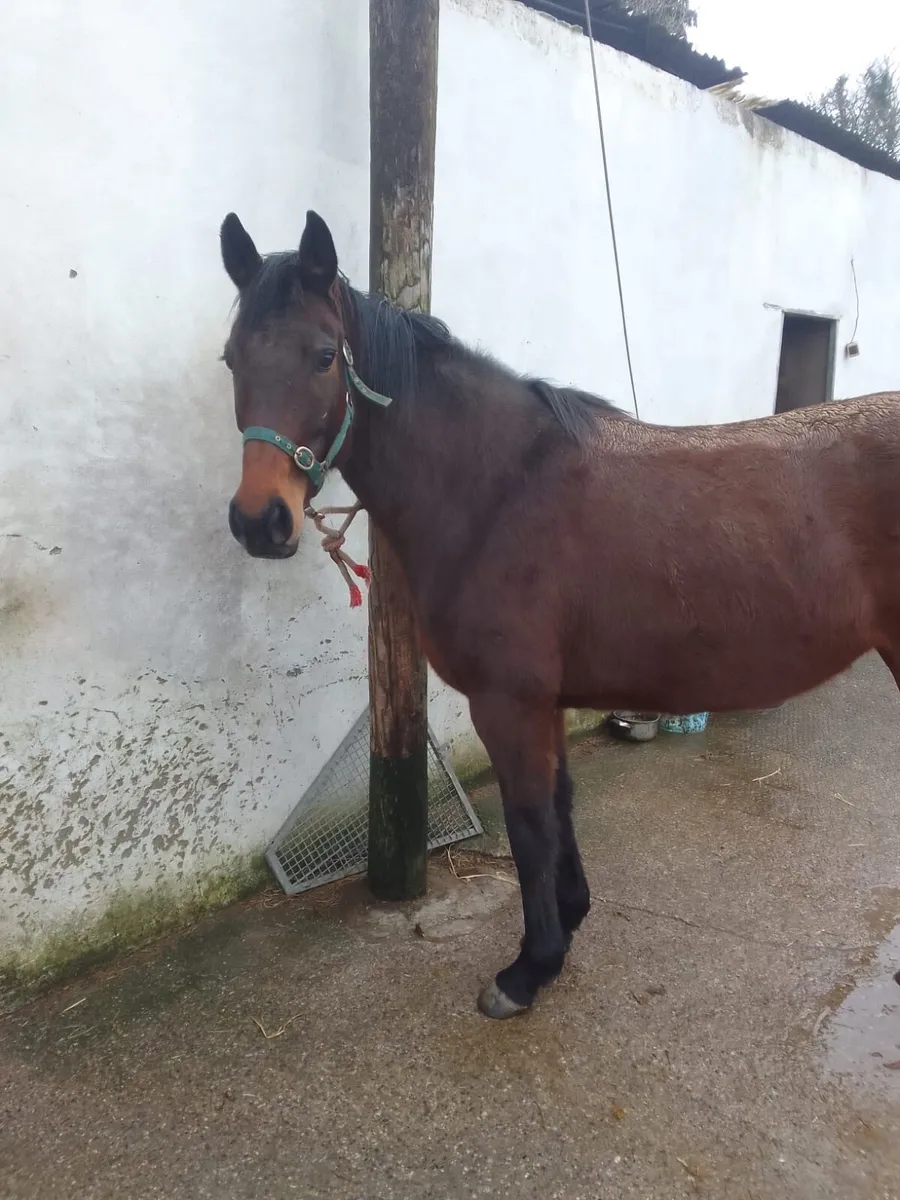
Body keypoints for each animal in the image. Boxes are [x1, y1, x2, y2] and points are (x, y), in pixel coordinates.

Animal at [220, 208, 900, 1020]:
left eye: (325, 356)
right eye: (231, 360)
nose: (260, 522)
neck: (499, 488)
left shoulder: (508, 703)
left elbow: (530, 825)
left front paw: (528, 969)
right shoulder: (547, 702)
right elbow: (561, 811)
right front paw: (568, 924)